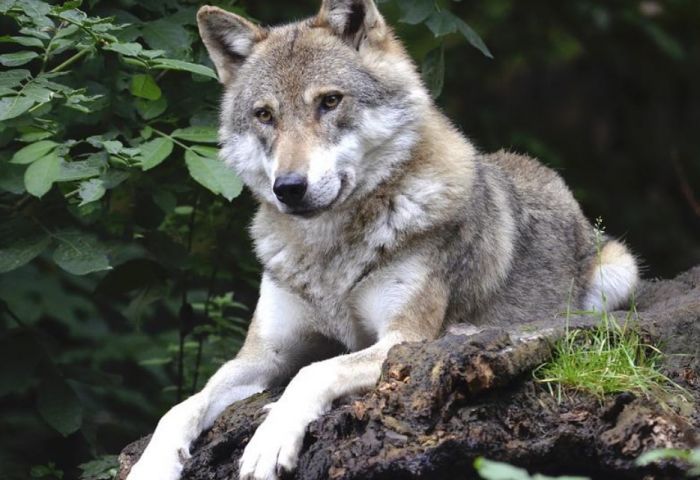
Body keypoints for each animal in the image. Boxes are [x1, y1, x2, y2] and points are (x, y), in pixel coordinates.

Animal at [127, 1, 639, 479]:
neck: (329, 252)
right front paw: (152, 463)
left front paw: (269, 440)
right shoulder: (263, 353)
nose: (288, 188)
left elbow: (314, 371)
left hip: (619, 272)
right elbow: (183, 405)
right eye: (265, 115)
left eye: (330, 101)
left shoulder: (401, 339)